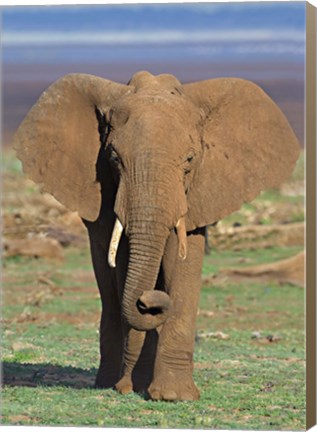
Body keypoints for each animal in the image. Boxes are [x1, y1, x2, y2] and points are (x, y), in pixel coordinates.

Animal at [12, 71, 298, 402]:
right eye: (113, 158)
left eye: (190, 159)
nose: (150, 301)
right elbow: (124, 265)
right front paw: (131, 387)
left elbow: (182, 264)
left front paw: (174, 395)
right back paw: (108, 382)